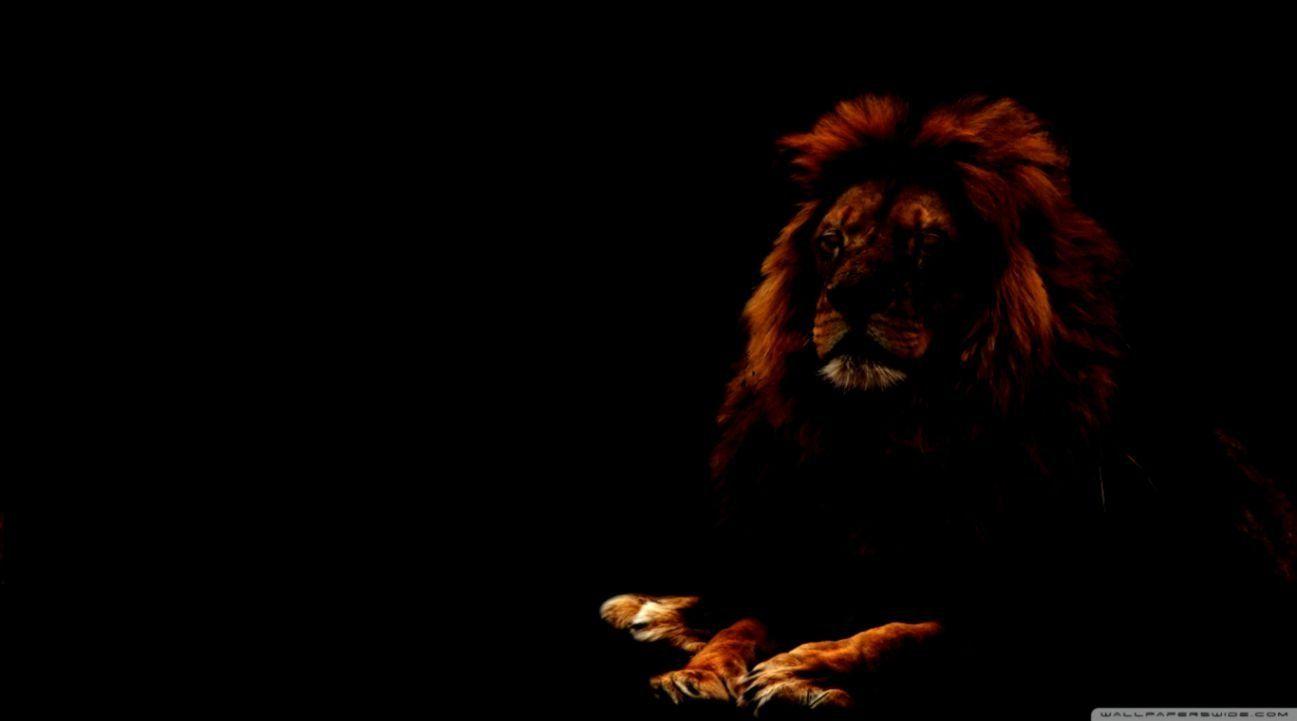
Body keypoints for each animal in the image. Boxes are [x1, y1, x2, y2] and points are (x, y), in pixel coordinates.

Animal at [600, 95, 1297, 717]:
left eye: (928, 244)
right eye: (831, 242)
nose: (848, 294)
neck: (898, 429)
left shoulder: (1051, 617)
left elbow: (910, 635)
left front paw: (803, 670)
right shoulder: (819, 563)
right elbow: (748, 617)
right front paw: (700, 671)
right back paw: (645, 608)